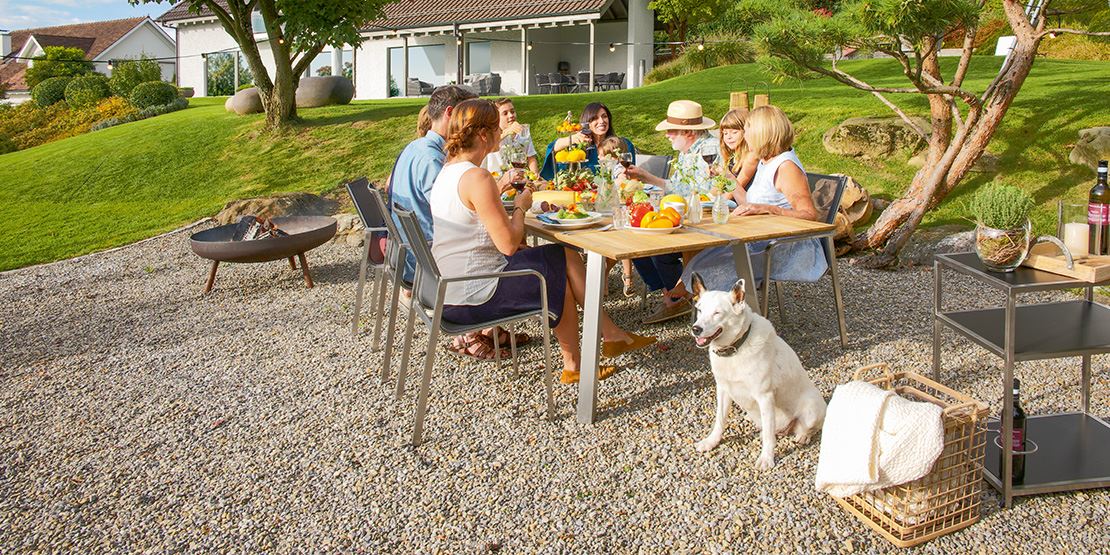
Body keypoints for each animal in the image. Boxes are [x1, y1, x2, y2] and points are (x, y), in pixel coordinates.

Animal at [689, 273, 827, 470]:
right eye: (699, 310)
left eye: (717, 313)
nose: (696, 329)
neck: (735, 349)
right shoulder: (723, 390)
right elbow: (720, 420)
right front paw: (711, 442)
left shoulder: (765, 396)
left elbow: (769, 436)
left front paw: (766, 458)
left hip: (811, 408)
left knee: (809, 428)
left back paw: (802, 436)